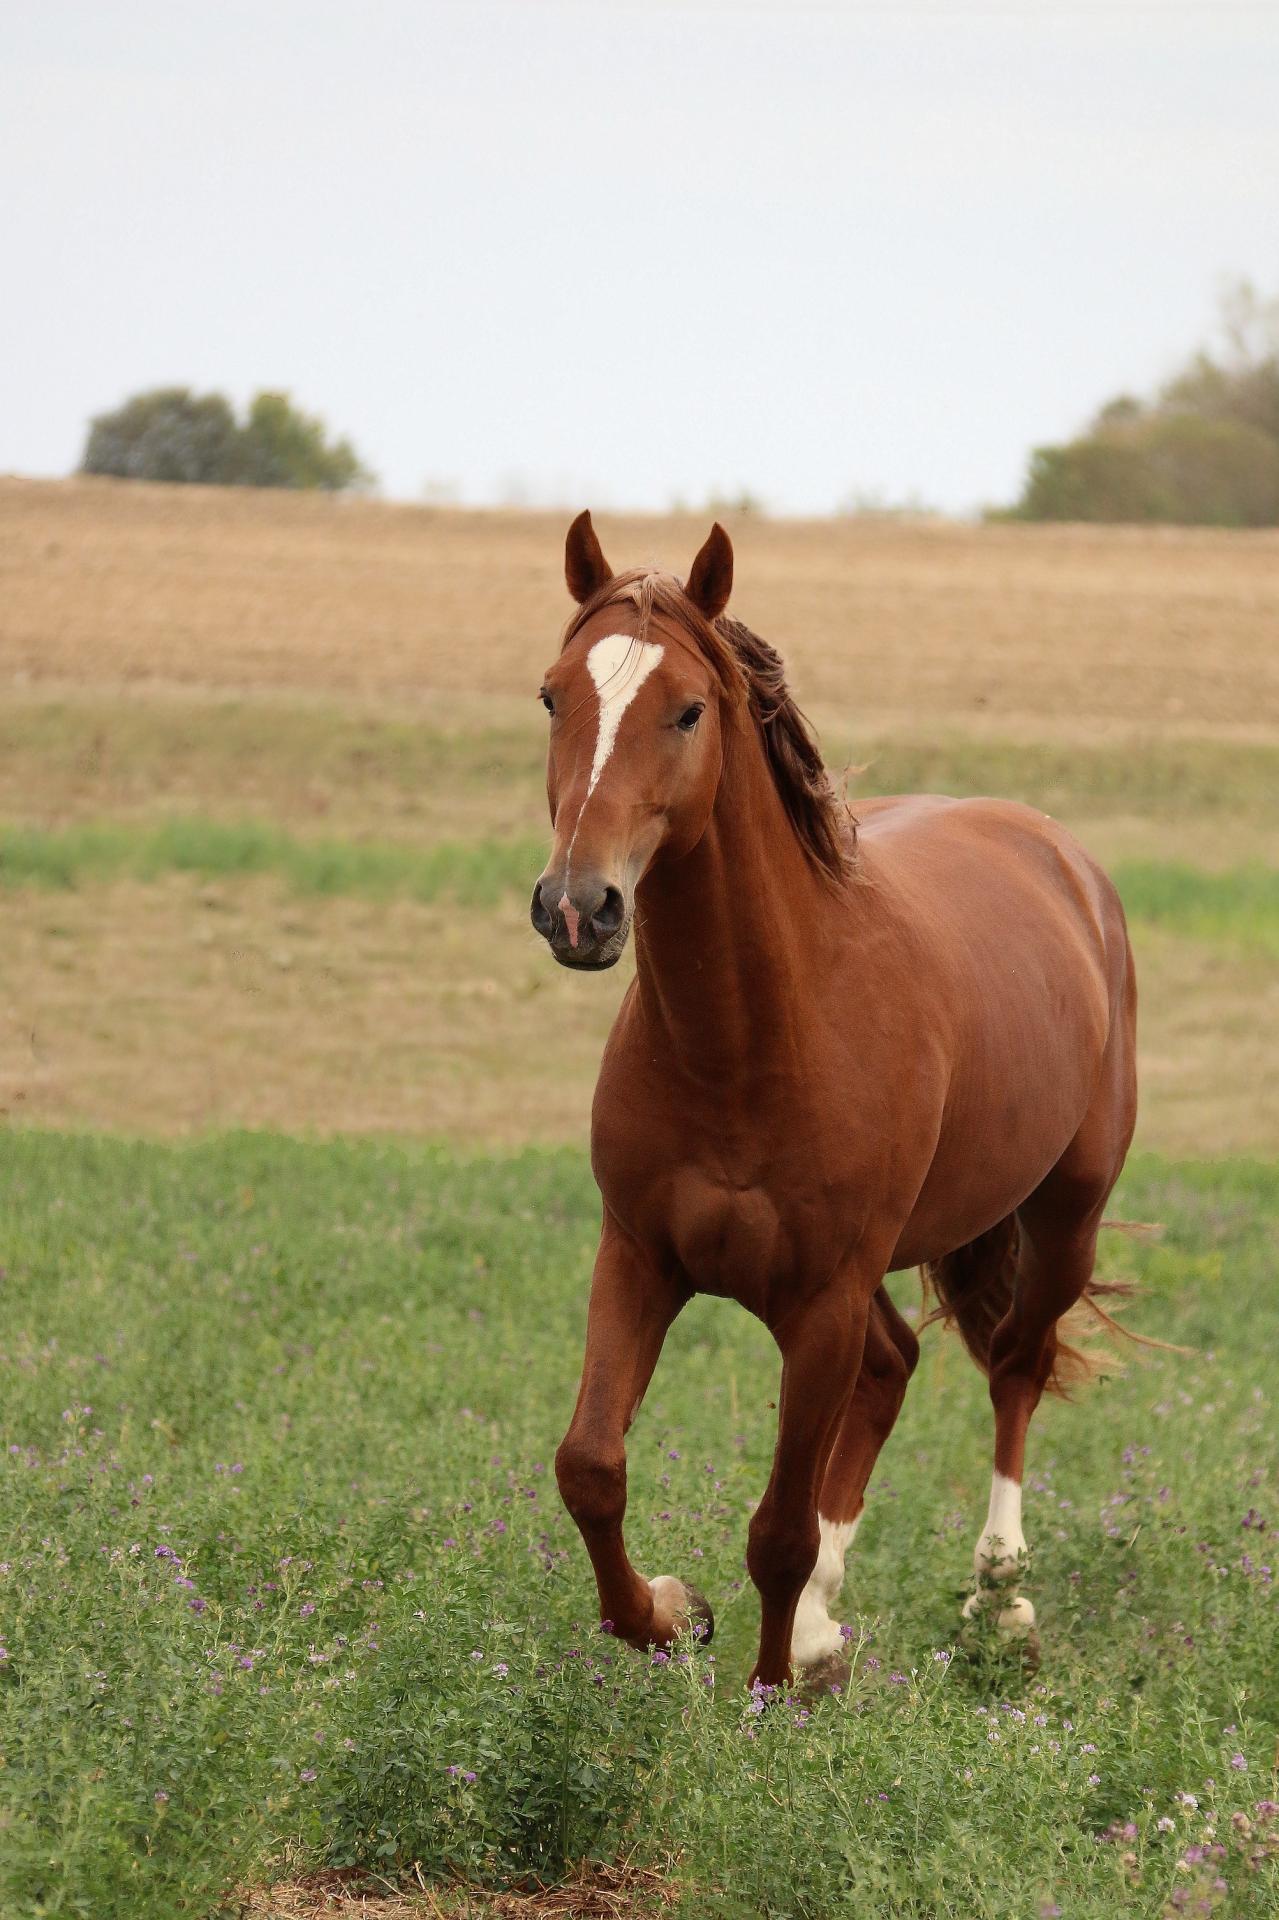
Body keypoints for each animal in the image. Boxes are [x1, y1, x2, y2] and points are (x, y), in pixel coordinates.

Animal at [526, 514, 1136, 1697]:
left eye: (687, 708)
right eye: (551, 697)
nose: (578, 908)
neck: (750, 1038)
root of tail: (1058, 856)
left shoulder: (819, 1303)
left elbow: (777, 1531)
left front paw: (765, 1704)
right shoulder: (639, 1256)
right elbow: (590, 1467)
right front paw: (669, 1614)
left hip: (1060, 1218)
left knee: (1015, 1368)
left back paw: (998, 1598)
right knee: (897, 1365)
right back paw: (820, 1630)